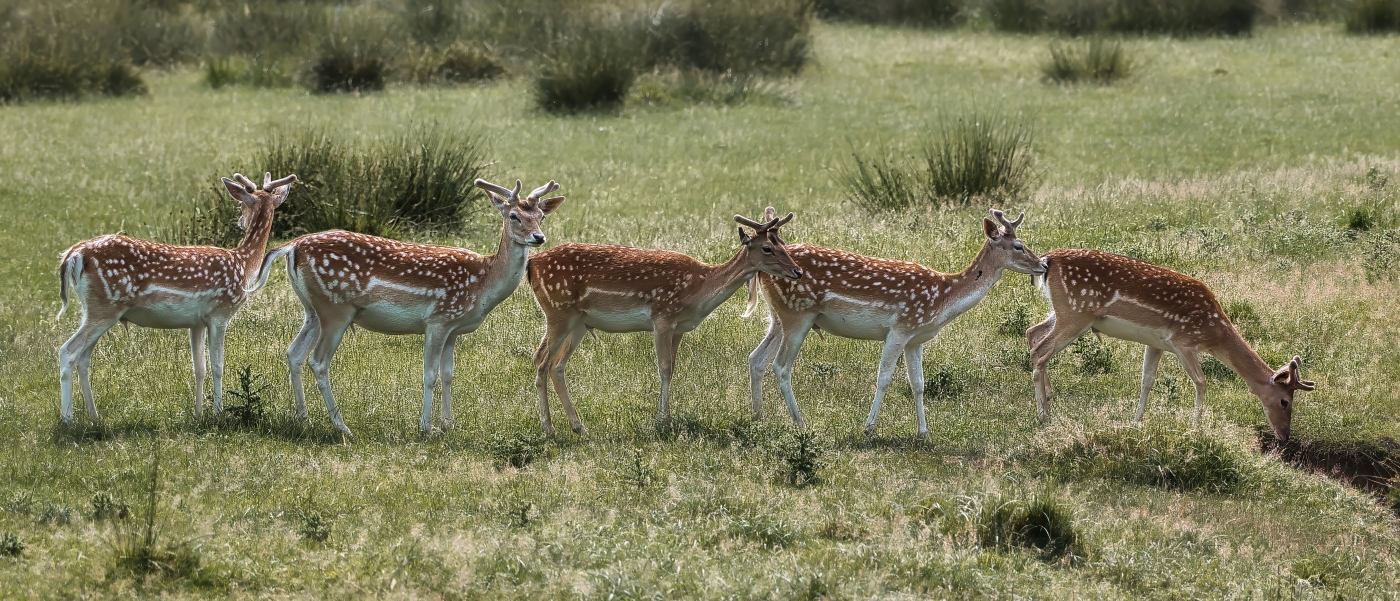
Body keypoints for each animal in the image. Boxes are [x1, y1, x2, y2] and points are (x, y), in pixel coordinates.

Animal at [57, 168, 298, 420]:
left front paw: (198, 414)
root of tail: (74, 255)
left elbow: (199, 368)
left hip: (95, 309)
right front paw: (218, 413)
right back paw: (68, 419)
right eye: (241, 204)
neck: (243, 263)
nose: (241, 221)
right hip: (105, 307)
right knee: (67, 352)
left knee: (83, 358)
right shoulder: (221, 313)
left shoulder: (197, 322)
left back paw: (94, 417)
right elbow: (218, 366)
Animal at [243, 177, 560, 434]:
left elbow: (448, 375)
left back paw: (304, 418)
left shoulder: (453, 329)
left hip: (313, 310)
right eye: (514, 216)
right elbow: (430, 375)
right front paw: (426, 428)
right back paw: (342, 426)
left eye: (541, 216)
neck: (483, 283)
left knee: (294, 354)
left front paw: (448, 425)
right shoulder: (438, 319)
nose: (538, 237)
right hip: (335, 309)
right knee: (318, 361)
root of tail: (292, 246)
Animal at [526, 208, 806, 434]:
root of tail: (532, 263)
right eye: (767, 248)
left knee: (557, 365)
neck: (699, 291)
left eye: (783, 243)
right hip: (558, 311)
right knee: (540, 359)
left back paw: (578, 426)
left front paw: (665, 417)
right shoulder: (662, 316)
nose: (798, 271)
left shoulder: (679, 327)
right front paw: (662, 421)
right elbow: (663, 368)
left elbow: (671, 368)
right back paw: (548, 428)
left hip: (579, 322)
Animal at [756, 208, 1041, 437]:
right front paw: (869, 429)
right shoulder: (900, 328)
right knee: (781, 366)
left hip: (778, 316)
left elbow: (918, 384)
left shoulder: (916, 339)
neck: (943, 299)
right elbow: (884, 378)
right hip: (798, 314)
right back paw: (800, 423)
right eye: (1018, 245)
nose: (1041, 264)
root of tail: (760, 271)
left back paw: (758, 418)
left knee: (757, 358)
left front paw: (924, 433)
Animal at [1030, 247, 1310, 439]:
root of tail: (1048, 259)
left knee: (1032, 333)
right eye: (1285, 401)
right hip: (1077, 313)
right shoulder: (1183, 341)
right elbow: (1201, 382)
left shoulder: (1156, 344)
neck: (1215, 333)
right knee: (1041, 350)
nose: (1285, 436)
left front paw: (1136, 421)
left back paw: (1049, 400)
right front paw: (1196, 428)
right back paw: (1043, 415)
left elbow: (1147, 380)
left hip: (1065, 312)